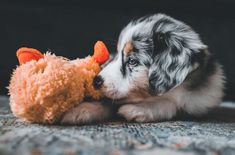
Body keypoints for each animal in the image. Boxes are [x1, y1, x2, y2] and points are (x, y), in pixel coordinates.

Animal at [61, 13, 225, 124]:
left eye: (132, 61)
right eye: (117, 54)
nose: (96, 81)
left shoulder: (199, 101)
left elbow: (172, 104)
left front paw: (139, 109)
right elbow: (107, 101)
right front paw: (79, 110)